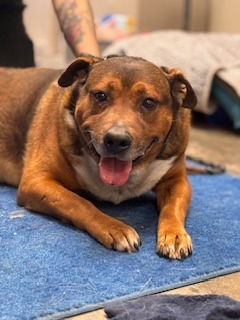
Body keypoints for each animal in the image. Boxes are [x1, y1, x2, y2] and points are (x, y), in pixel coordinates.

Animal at [0, 54, 197, 260]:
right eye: (100, 95)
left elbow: (172, 208)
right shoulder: (36, 182)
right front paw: (114, 228)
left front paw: (174, 234)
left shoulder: (177, 181)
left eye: (149, 102)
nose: (116, 140)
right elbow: (77, 202)